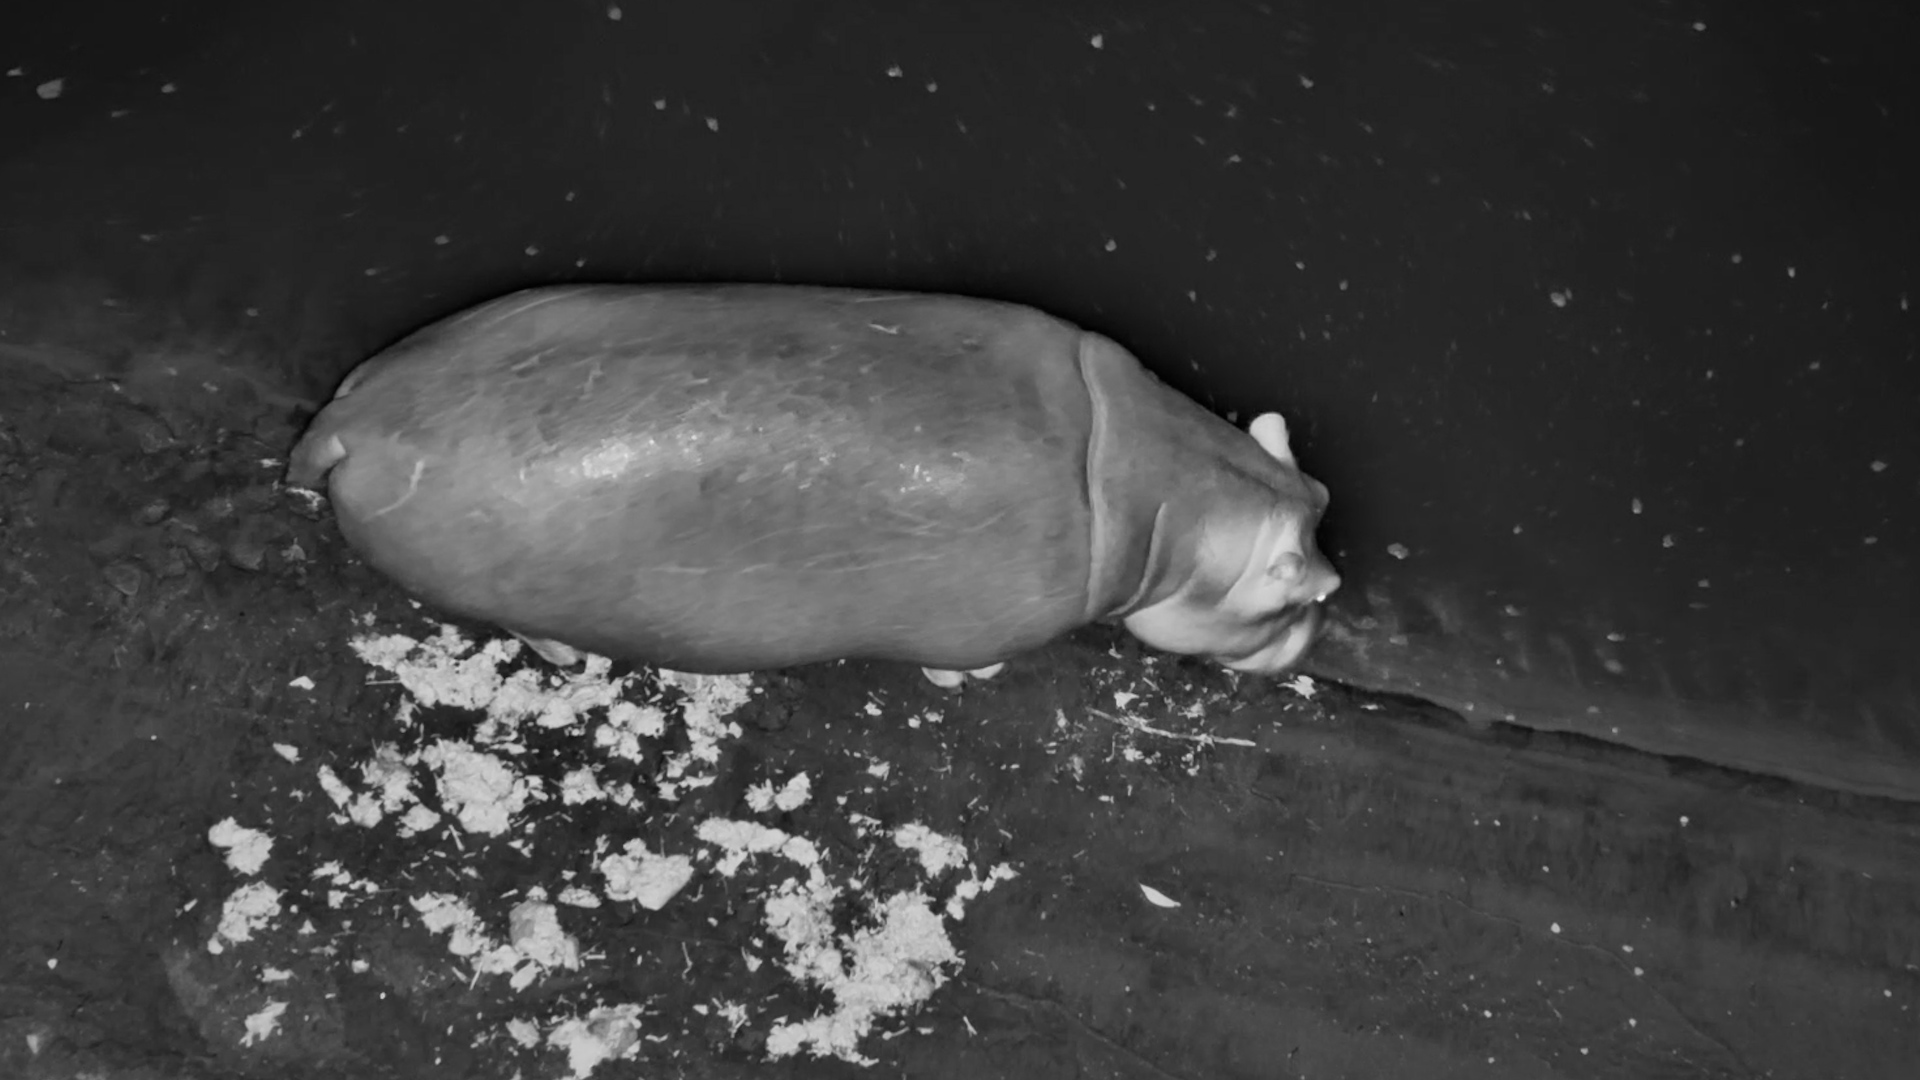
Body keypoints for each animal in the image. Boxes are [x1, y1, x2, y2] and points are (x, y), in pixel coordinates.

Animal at [285, 284, 1339, 687]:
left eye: (1323, 498)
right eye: (1302, 592)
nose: (1310, 643)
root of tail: (350, 417)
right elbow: (966, 666)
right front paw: (975, 682)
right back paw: (572, 658)